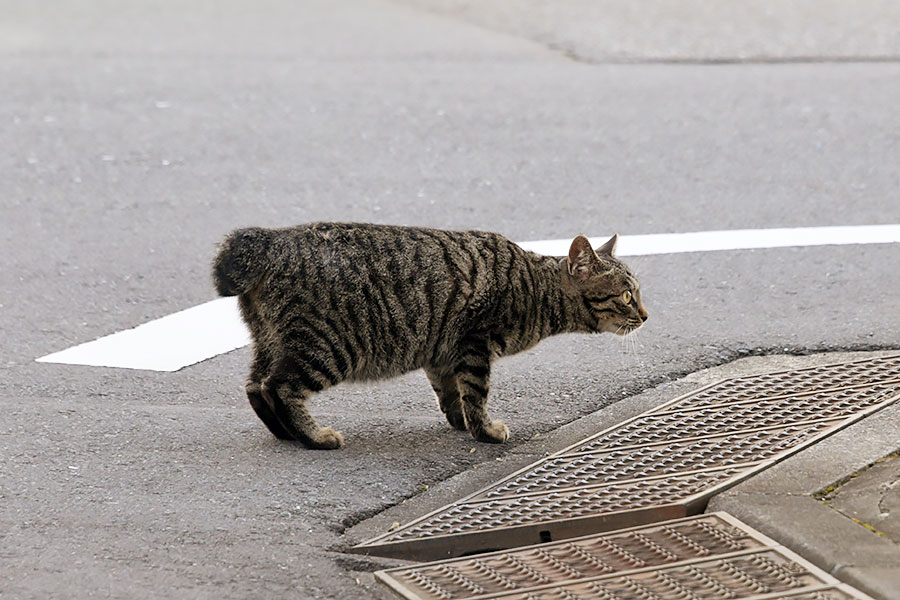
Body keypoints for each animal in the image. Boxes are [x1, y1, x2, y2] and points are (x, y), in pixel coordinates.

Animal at [211, 223, 648, 448]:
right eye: (628, 295)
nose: (645, 315)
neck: (533, 286)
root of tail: (272, 239)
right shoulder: (475, 343)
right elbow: (475, 393)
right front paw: (484, 430)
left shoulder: (442, 351)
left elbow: (449, 392)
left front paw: (459, 420)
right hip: (328, 347)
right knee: (280, 386)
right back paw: (314, 436)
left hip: (271, 340)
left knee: (255, 386)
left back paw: (285, 434)